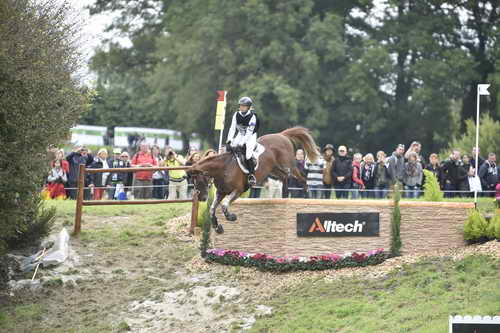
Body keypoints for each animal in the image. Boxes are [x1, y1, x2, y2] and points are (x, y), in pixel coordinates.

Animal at [188, 127, 320, 233]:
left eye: (199, 180)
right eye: (193, 181)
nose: (201, 198)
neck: (224, 168)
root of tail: (282, 135)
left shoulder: (238, 190)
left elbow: (224, 205)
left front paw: (231, 217)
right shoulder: (221, 192)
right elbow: (212, 209)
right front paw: (217, 227)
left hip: (289, 166)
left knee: (301, 178)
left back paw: (307, 195)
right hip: (274, 170)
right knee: (285, 178)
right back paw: (284, 196)